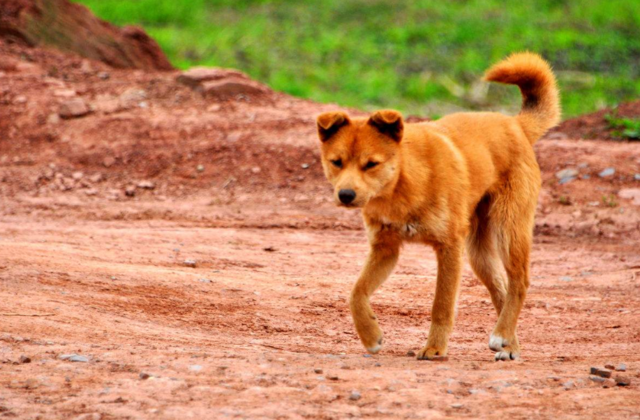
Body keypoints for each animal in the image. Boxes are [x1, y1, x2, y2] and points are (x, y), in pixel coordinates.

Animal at [316, 52, 560, 360]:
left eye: (371, 164)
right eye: (336, 162)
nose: (346, 194)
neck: (403, 186)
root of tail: (515, 124)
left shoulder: (449, 247)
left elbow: (441, 306)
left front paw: (434, 349)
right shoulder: (386, 249)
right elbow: (355, 294)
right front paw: (371, 335)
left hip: (508, 230)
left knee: (520, 282)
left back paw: (502, 335)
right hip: (479, 254)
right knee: (501, 290)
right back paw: (509, 345)